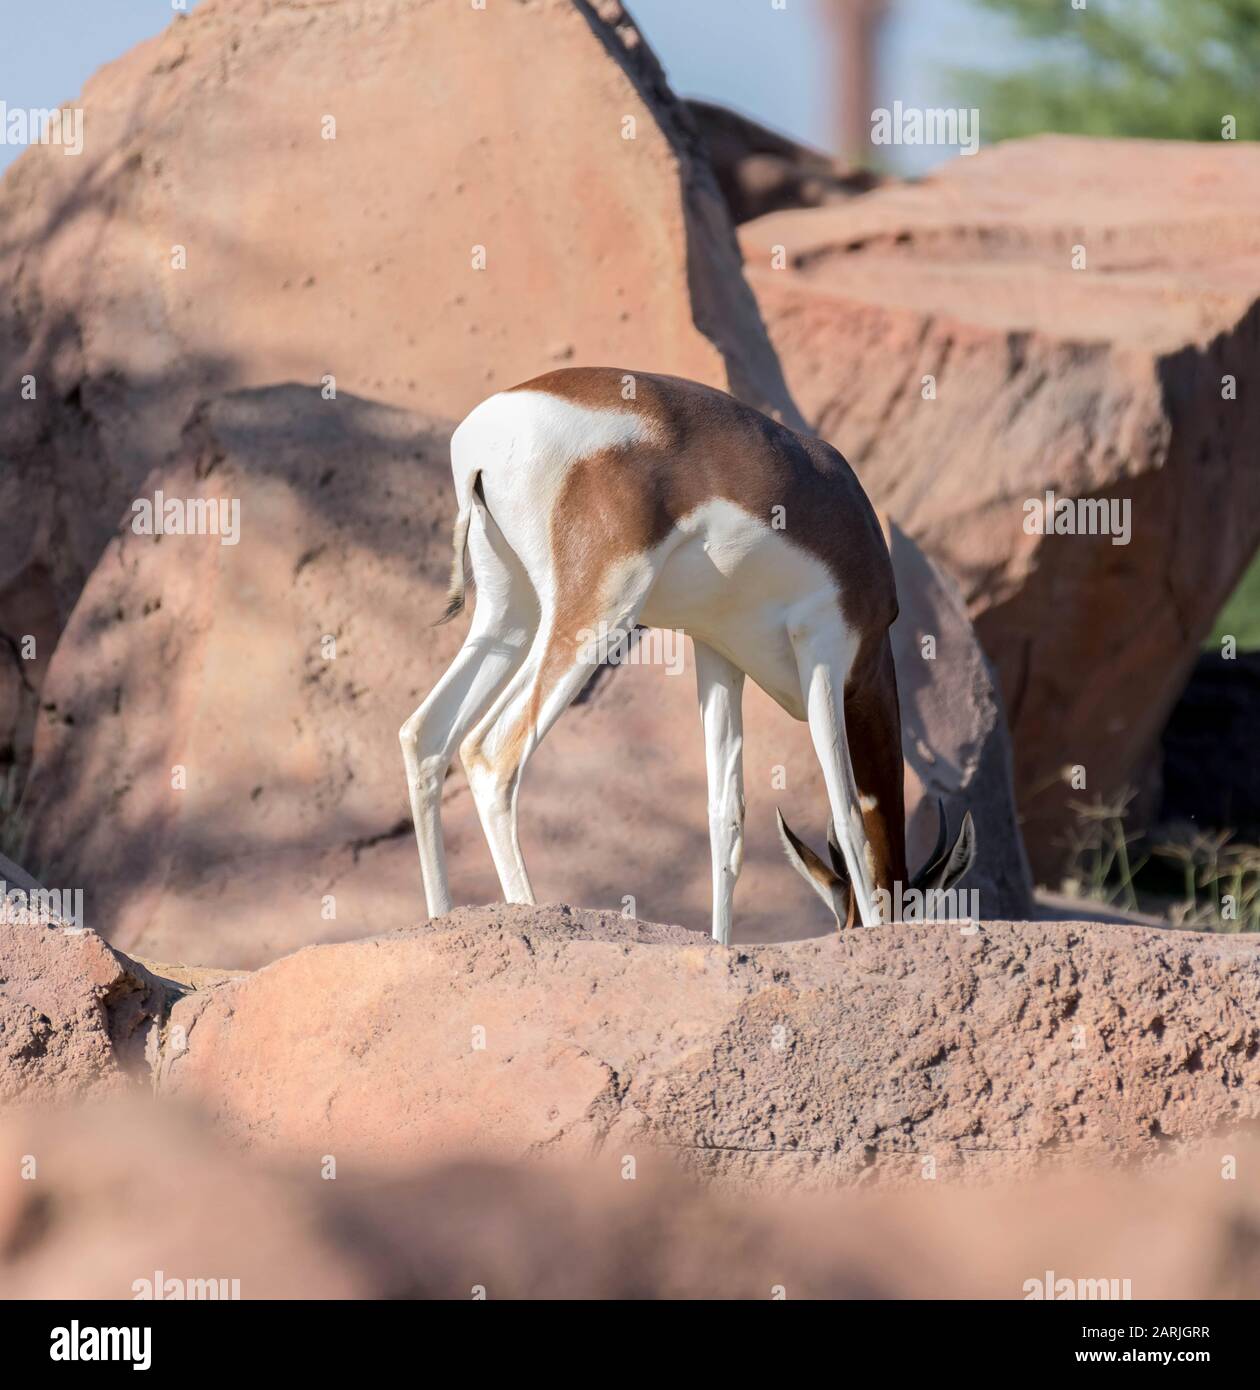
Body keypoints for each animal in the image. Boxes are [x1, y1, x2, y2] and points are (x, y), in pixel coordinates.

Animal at [399, 368, 975, 943]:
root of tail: (485, 430)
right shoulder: (824, 653)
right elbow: (851, 815)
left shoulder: (717, 652)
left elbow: (727, 819)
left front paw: (721, 944)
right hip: (598, 611)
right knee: (492, 752)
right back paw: (533, 915)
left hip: (510, 611)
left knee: (425, 734)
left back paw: (439, 918)